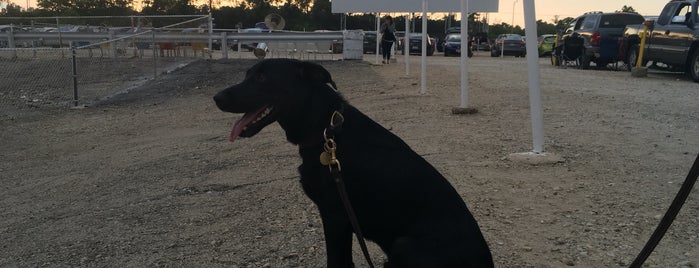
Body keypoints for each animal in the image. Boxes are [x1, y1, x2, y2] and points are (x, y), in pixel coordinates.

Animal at [216, 59, 494, 268]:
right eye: (248, 75)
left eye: (262, 78)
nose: (216, 97)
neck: (327, 132)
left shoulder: (335, 216)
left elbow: (337, 263)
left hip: (403, 246)